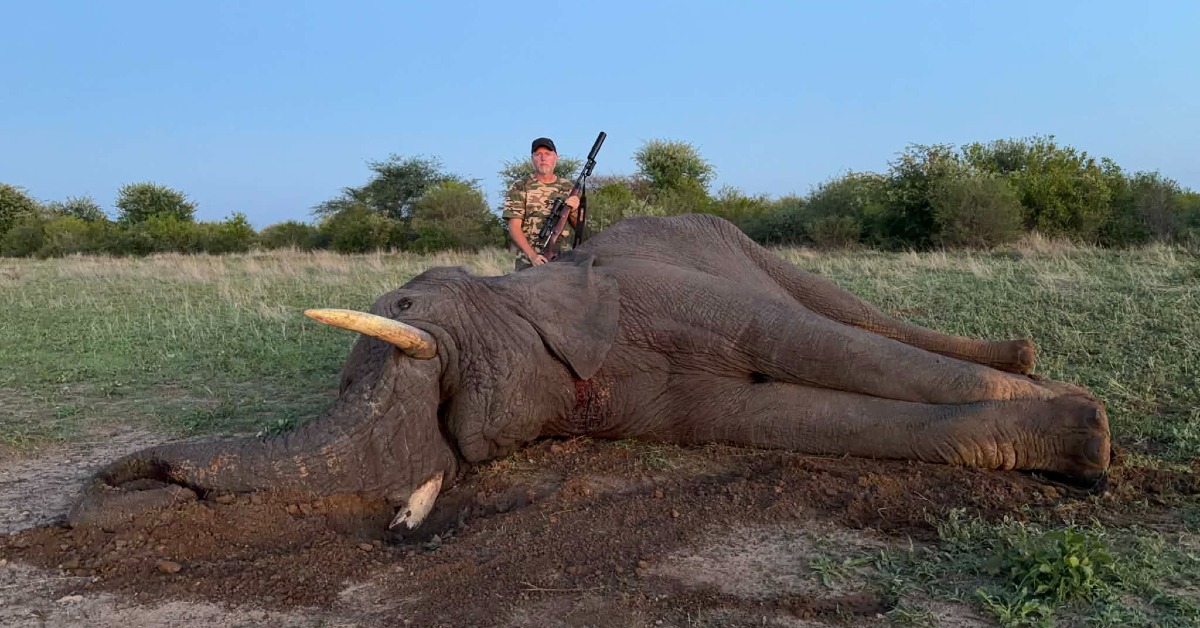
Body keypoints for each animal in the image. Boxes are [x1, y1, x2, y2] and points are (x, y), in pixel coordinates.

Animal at [66, 213, 1111, 531]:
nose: (125, 482)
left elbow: (809, 348)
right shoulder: (642, 403)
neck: (530, 297)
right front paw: (1079, 438)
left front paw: (1088, 429)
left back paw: (1023, 361)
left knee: (841, 311)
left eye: (404, 315)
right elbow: (779, 417)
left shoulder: (663, 294)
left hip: (743, 243)